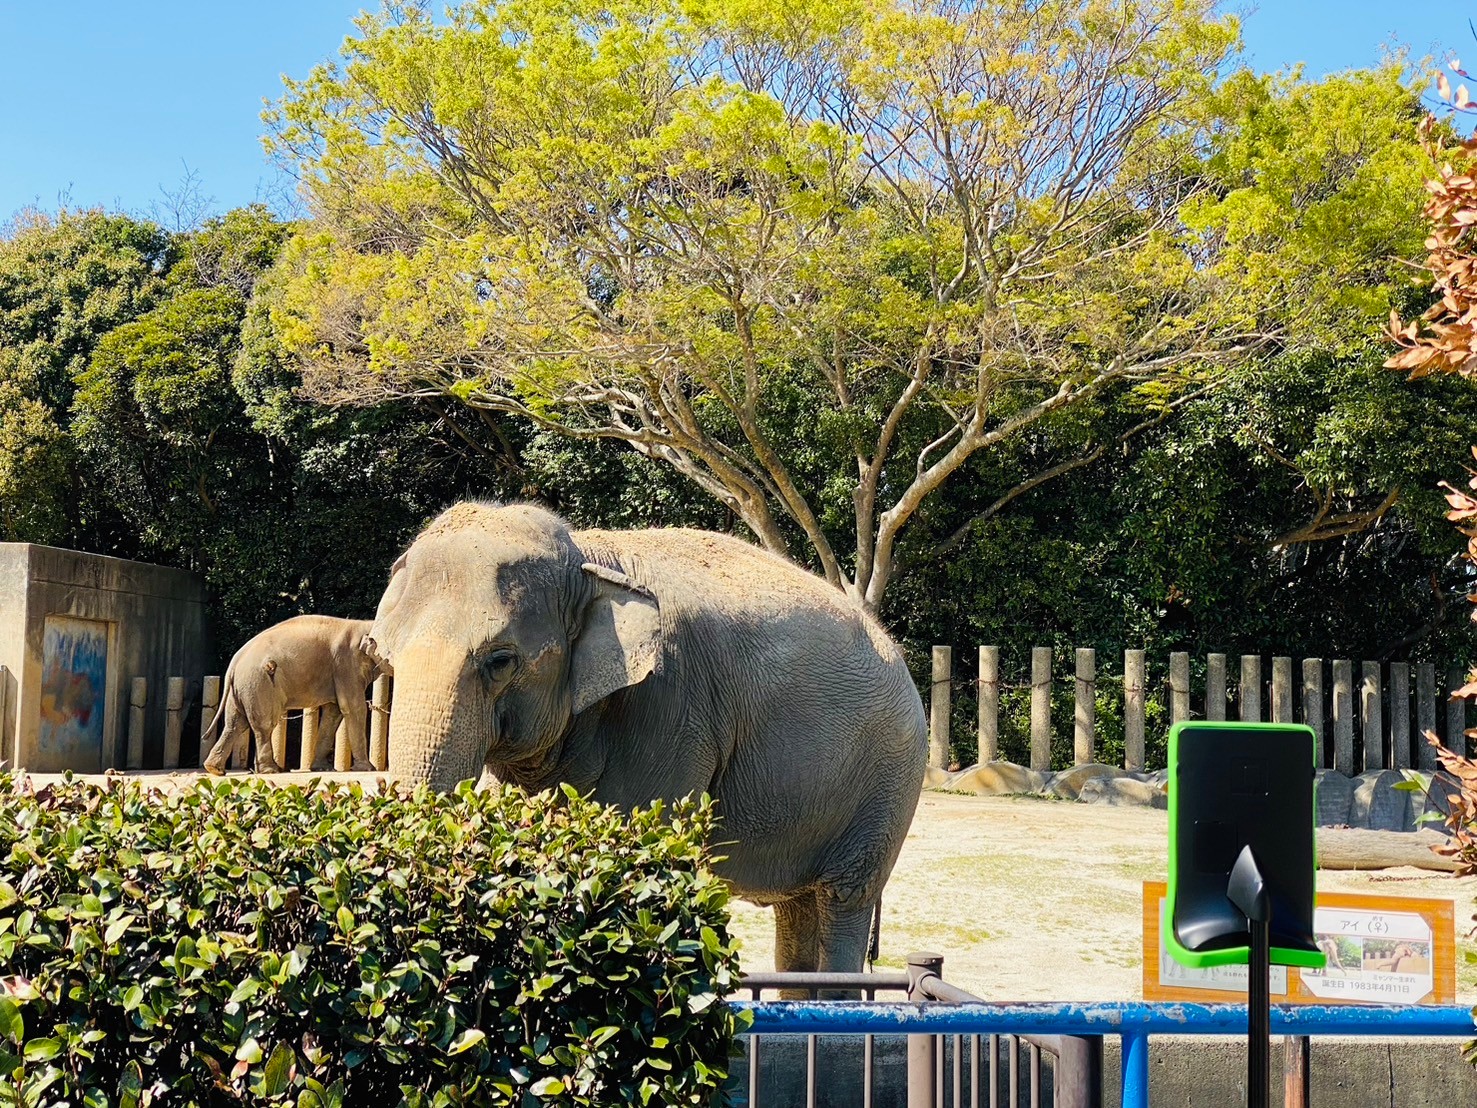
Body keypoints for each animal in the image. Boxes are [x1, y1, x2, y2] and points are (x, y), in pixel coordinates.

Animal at [203, 611, 381, 774]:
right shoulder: (345, 665)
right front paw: (367, 769)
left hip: (241, 688)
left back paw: (214, 769)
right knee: (264, 724)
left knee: (235, 723)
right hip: (259, 682)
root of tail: (235, 660)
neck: (366, 624)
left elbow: (333, 712)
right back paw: (271, 770)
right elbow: (353, 708)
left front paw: (322, 768)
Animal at [369, 502, 921, 980]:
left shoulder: (670, 709)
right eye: (381, 656)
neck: (588, 556)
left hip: (887, 785)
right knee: (797, 914)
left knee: (844, 899)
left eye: (500, 661)